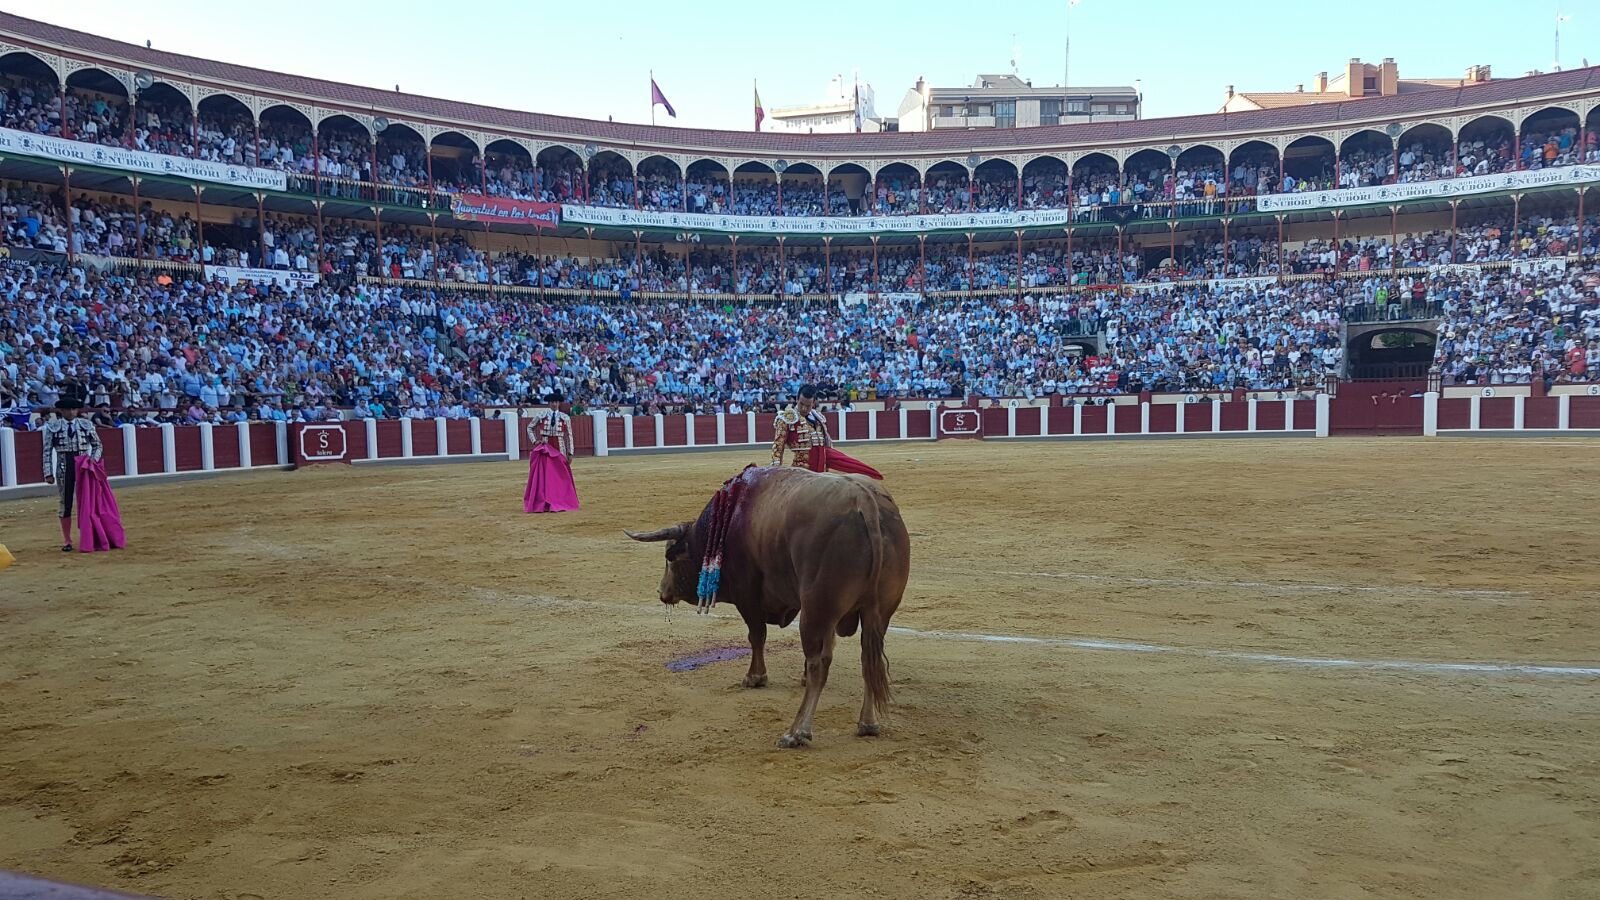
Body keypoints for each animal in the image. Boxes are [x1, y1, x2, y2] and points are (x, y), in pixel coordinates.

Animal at [627, 464, 915, 746]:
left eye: (669, 558)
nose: (662, 591)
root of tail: (865, 501)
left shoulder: (747, 595)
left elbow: (757, 635)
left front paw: (755, 677)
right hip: (879, 614)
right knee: (870, 659)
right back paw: (867, 723)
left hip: (816, 611)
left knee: (820, 663)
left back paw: (797, 732)